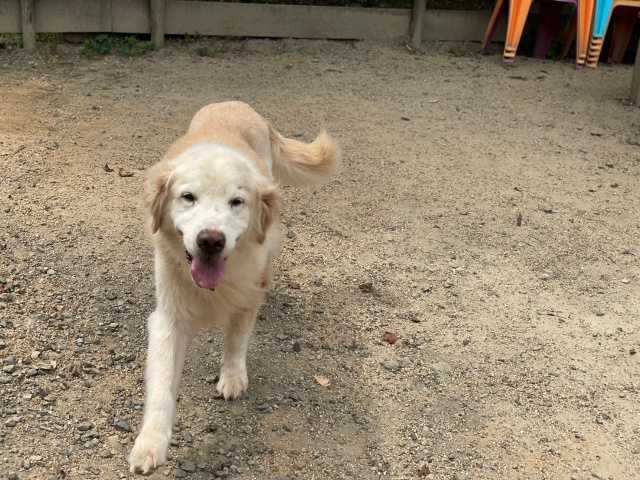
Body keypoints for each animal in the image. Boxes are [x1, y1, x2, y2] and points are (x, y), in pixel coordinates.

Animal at [128, 101, 340, 474]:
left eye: (237, 202)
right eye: (187, 197)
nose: (211, 240)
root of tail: (236, 104)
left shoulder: (249, 291)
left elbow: (237, 337)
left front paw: (232, 377)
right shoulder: (168, 317)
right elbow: (162, 385)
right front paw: (150, 444)